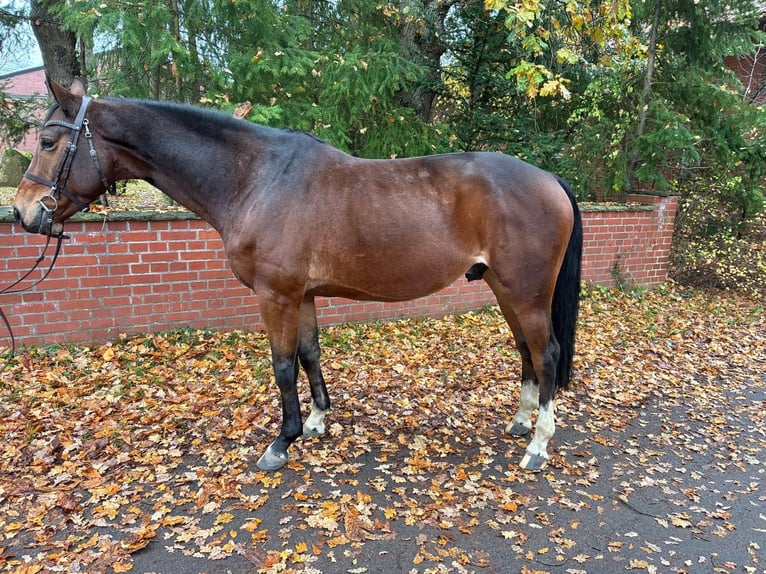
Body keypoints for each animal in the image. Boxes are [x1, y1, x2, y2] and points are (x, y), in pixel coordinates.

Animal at [13, 78, 582, 472]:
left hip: (526, 291)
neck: (256, 179)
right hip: (504, 288)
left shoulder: (276, 296)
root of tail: (550, 178)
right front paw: (316, 422)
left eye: (48, 141)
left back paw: (538, 445)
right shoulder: (302, 296)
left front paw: (280, 443)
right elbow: (310, 356)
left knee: (546, 353)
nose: (23, 212)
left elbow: (283, 366)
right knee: (526, 351)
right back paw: (520, 422)